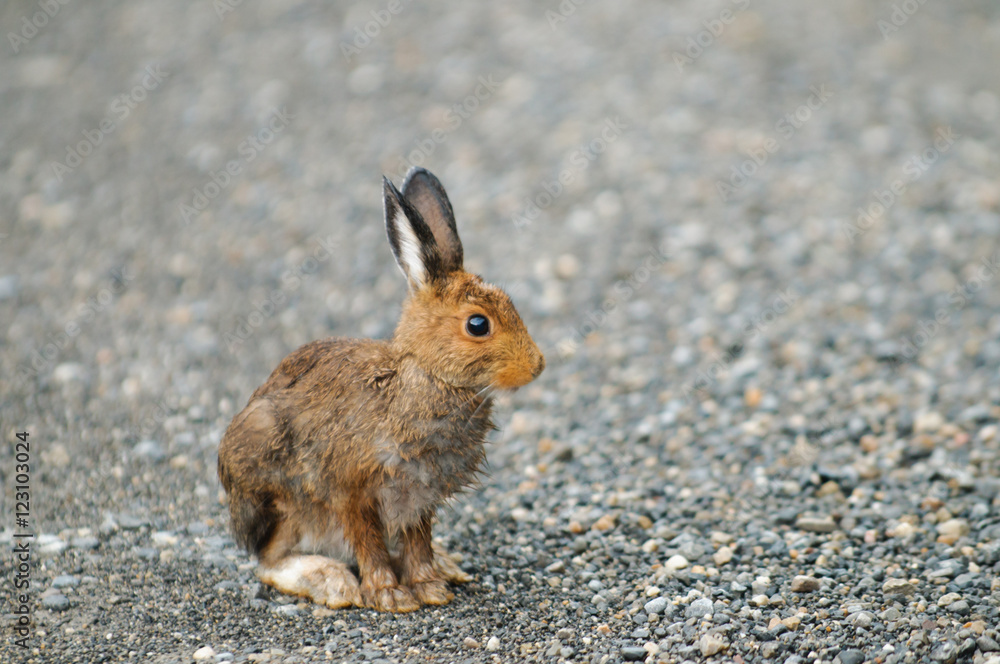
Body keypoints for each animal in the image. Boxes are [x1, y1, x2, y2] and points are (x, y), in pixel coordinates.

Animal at [217, 167, 545, 613]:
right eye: (478, 325)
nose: (538, 366)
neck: (425, 375)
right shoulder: (353, 492)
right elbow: (368, 544)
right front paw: (390, 596)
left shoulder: (418, 498)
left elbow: (417, 543)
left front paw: (429, 587)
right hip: (281, 495)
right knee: (269, 560)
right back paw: (332, 581)